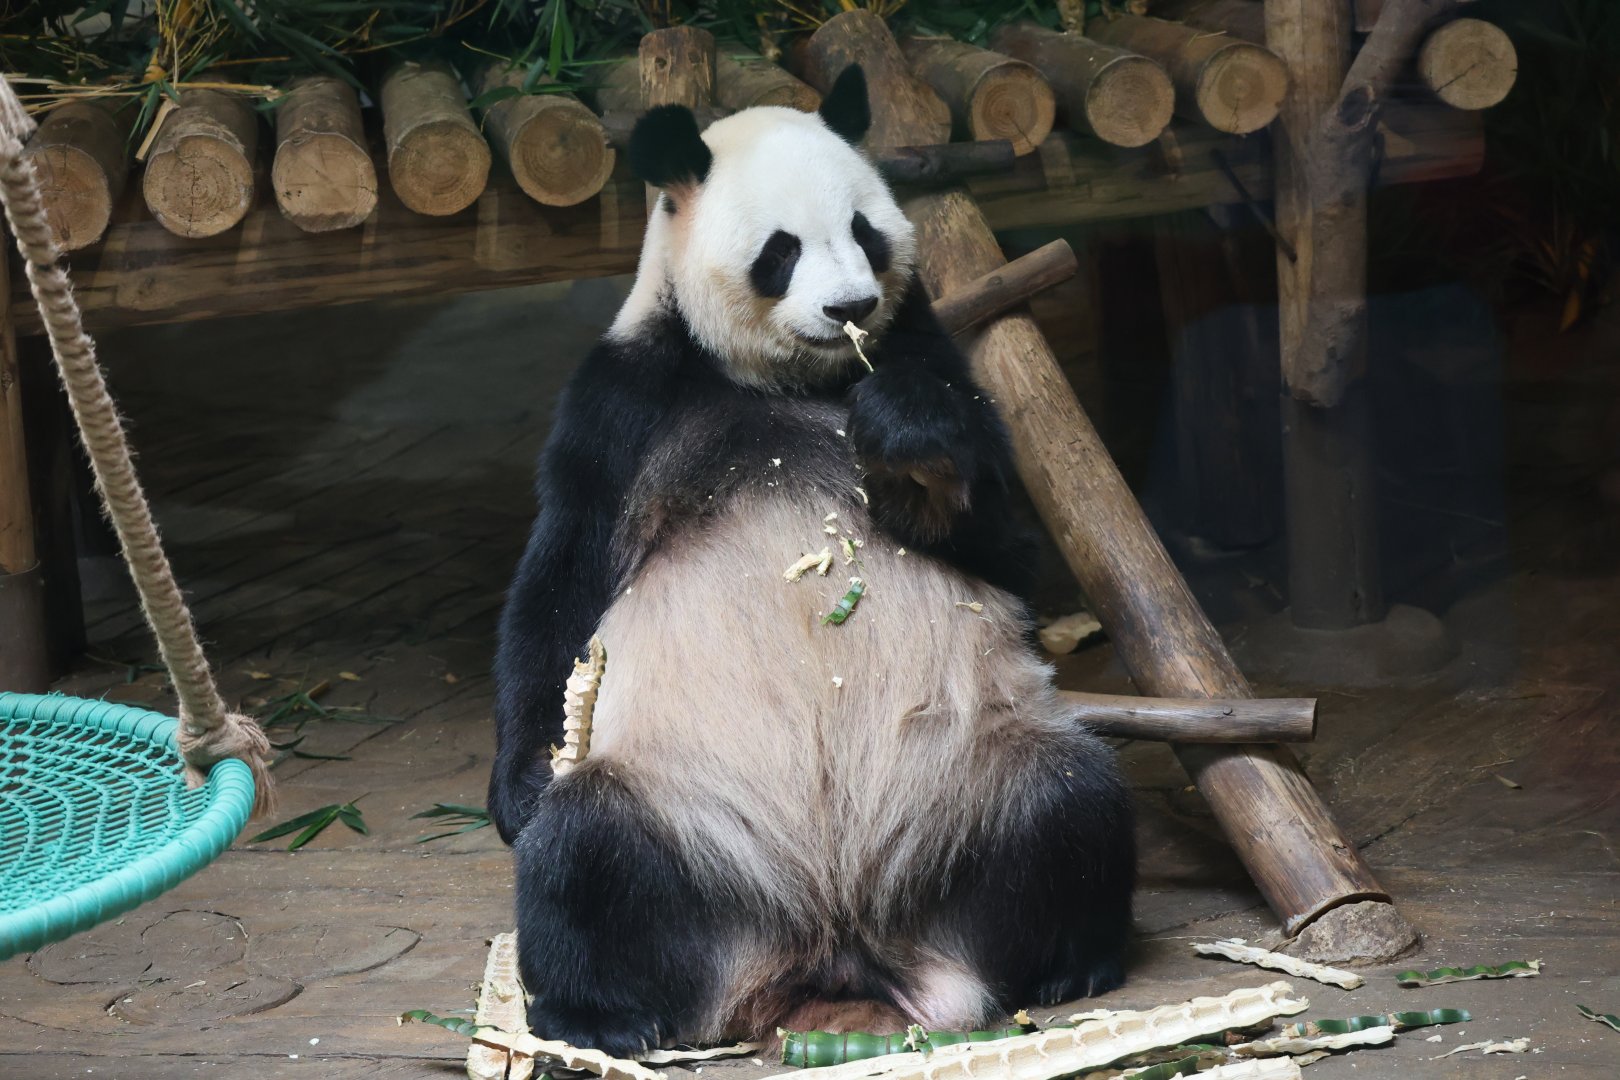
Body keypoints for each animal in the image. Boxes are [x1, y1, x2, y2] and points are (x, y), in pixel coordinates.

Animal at [489, 66, 1135, 1057]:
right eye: (781, 251)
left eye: (865, 231)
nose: (852, 309)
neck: (785, 380)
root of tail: (832, 944)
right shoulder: (625, 398)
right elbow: (563, 576)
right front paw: (518, 785)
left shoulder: (929, 349)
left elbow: (1006, 547)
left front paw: (907, 439)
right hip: (687, 815)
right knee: (580, 859)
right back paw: (601, 1016)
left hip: (966, 788)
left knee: (1076, 805)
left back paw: (1074, 963)